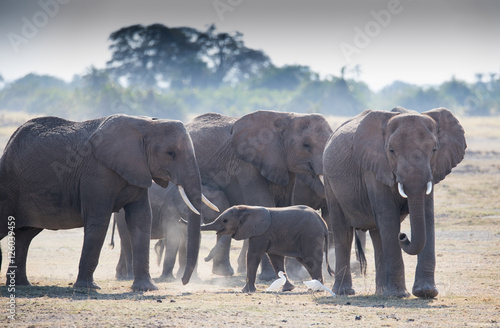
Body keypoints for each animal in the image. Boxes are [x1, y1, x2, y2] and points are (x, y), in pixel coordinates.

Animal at [0, 114, 209, 290]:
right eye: (170, 154)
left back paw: (22, 285)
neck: (145, 124)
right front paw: (87, 288)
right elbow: (99, 221)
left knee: (25, 235)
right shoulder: (97, 173)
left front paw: (146, 288)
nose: (184, 282)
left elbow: (141, 220)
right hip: (10, 186)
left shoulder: (138, 170)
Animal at [188, 111, 332, 280]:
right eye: (306, 145)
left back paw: (223, 272)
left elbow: (284, 206)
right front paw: (269, 277)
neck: (286, 117)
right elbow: (263, 203)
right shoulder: (247, 162)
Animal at [322, 107, 466, 298]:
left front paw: (426, 292)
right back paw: (345, 292)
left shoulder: (432, 171)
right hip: (329, 180)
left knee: (377, 235)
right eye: (391, 150)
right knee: (343, 232)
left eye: (434, 149)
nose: (403, 236)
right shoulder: (374, 167)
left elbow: (426, 215)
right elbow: (389, 217)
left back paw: (381, 291)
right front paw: (400, 294)